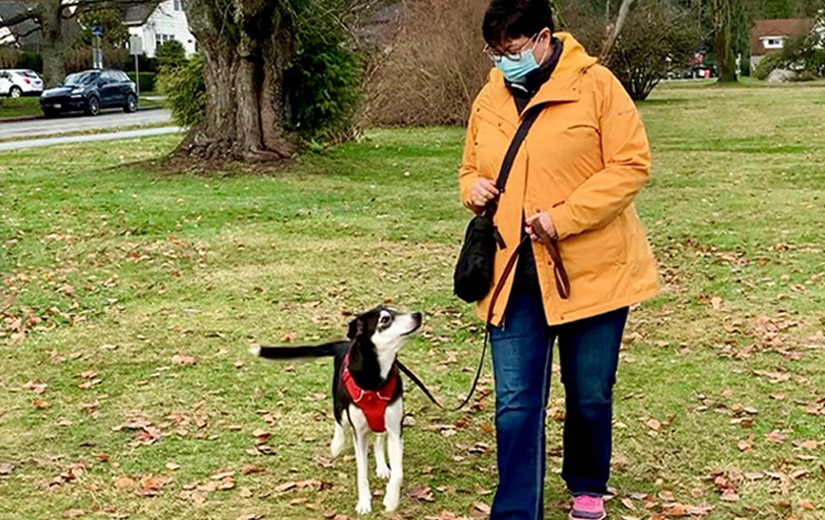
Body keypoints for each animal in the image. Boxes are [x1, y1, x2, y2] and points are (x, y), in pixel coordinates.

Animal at [248, 306, 422, 512]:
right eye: (385, 319)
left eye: (397, 310)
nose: (418, 315)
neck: (375, 381)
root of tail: (344, 344)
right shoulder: (358, 432)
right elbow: (361, 473)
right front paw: (364, 503)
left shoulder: (395, 428)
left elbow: (398, 472)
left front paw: (391, 499)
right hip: (340, 406)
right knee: (339, 422)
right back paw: (336, 445)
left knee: (379, 438)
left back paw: (381, 466)